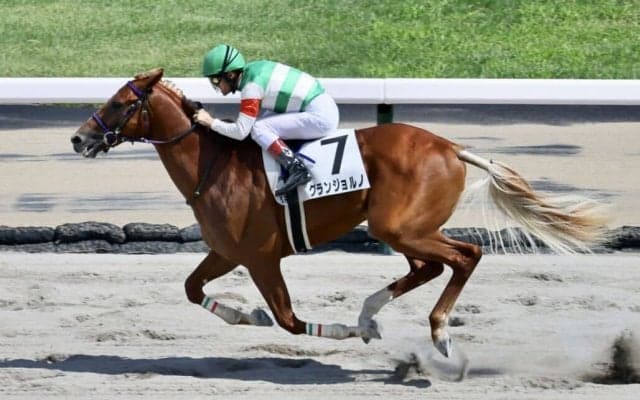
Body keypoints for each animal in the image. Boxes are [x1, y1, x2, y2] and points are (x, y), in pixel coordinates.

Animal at [71, 68, 606, 357]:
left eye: (119, 102)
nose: (78, 138)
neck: (214, 164)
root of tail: (452, 148)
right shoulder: (227, 251)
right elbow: (191, 288)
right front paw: (250, 317)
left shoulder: (261, 257)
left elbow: (288, 319)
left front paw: (340, 330)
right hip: (402, 228)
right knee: (430, 266)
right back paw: (372, 314)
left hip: (401, 226)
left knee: (465, 255)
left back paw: (435, 331)